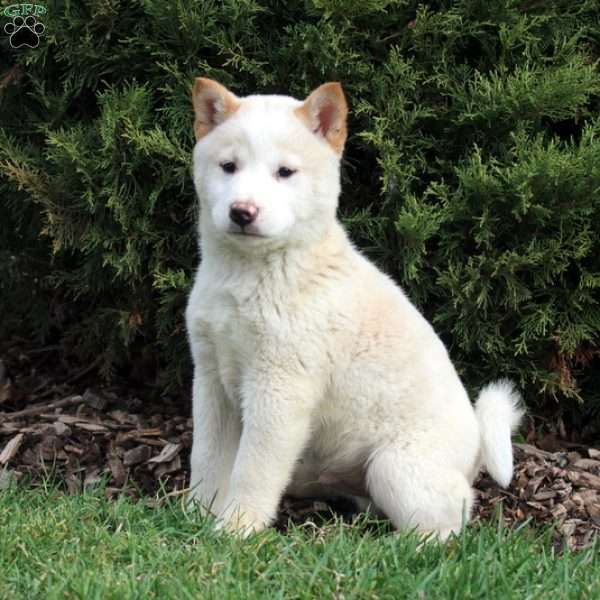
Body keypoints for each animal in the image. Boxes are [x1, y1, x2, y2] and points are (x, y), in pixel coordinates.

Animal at [185, 77, 524, 536]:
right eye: (228, 167)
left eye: (285, 172)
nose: (242, 211)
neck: (249, 275)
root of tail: (475, 455)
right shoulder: (210, 379)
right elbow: (206, 458)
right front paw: (192, 515)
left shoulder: (279, 389)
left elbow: (252, 470)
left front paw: (236, 529)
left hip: (394, 467)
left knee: (449, 522)